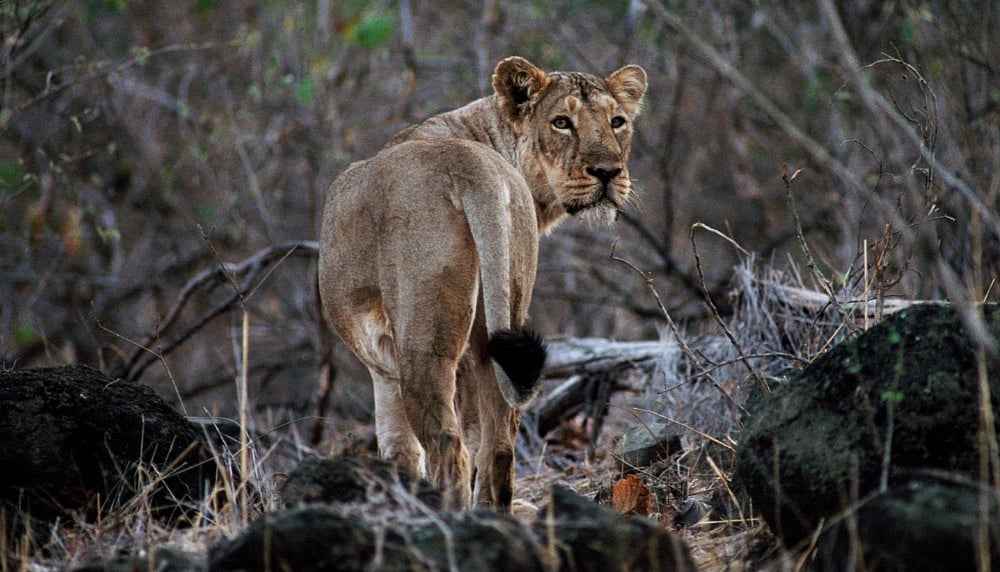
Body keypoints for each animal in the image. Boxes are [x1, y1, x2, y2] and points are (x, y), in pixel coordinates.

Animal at [318, 57, 646, 511]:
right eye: (562, 122)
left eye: (617, 122)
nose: (608, 172)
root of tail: (471, 167)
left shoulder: (384, 367)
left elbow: (400, 450)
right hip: (501, 322)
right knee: (499, 446)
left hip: (423, 339)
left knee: (448, 447)